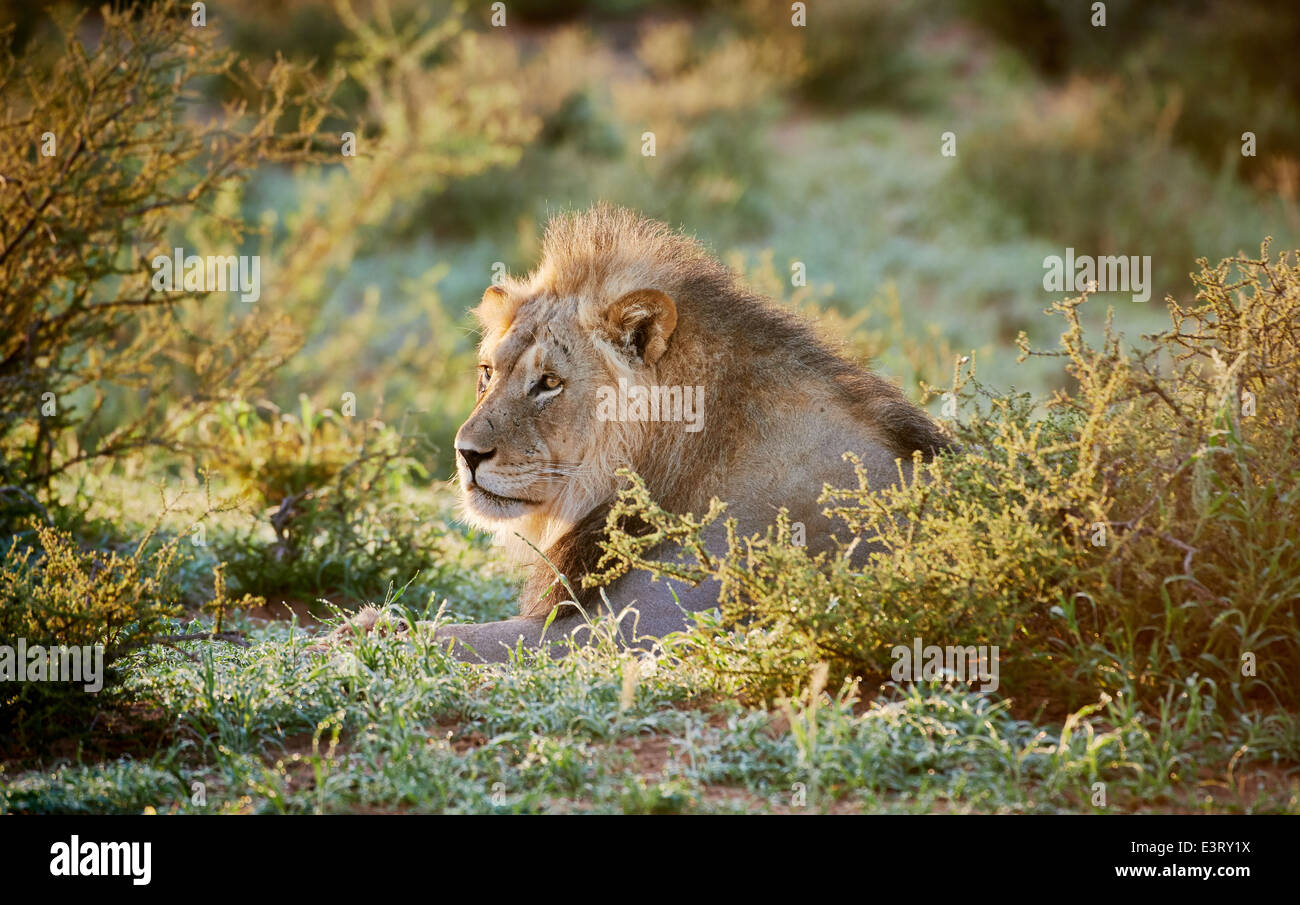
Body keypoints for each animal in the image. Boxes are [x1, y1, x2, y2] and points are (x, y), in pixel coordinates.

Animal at [323, 204, 948, 661]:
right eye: (486, 373)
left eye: (549, 383)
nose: (465, 454)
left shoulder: (640, 623)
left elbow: (458, 636)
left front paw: (349, 636)